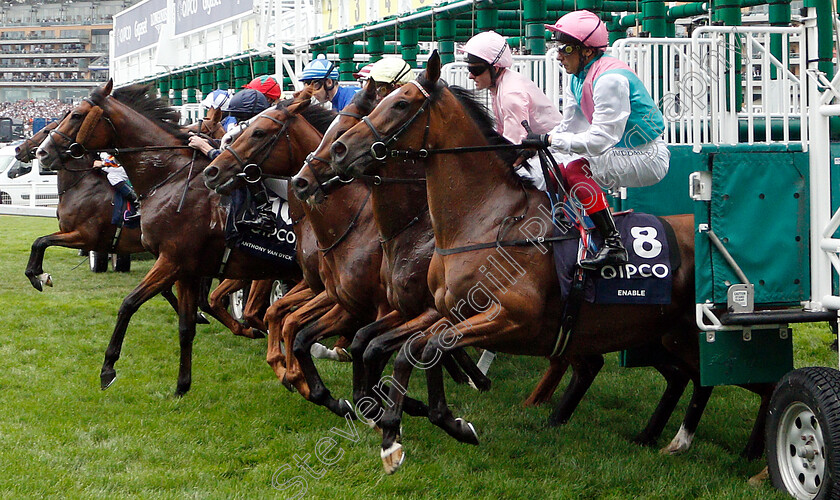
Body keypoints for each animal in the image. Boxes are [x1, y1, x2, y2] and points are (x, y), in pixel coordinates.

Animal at [38, 81, 306, 394]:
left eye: (77, 115)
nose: (41, 153)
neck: (169, 177)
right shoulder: (186, 267)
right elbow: (185, 325)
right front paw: (182, 385)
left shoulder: (167, 259)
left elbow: (129, 304)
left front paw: (108, 368)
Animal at [330, 51, 776, 472]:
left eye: (400, 103)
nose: (339, 149)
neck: (486, 218)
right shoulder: (449, 312)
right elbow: (414, 348)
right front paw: (418, 426)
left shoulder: (511, 317)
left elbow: (424, 347)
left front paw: (407, 429)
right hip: (663, 335)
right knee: (695, 378)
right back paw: (662, 438)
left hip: (694, 335)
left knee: (760, 382)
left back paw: (754, 457)